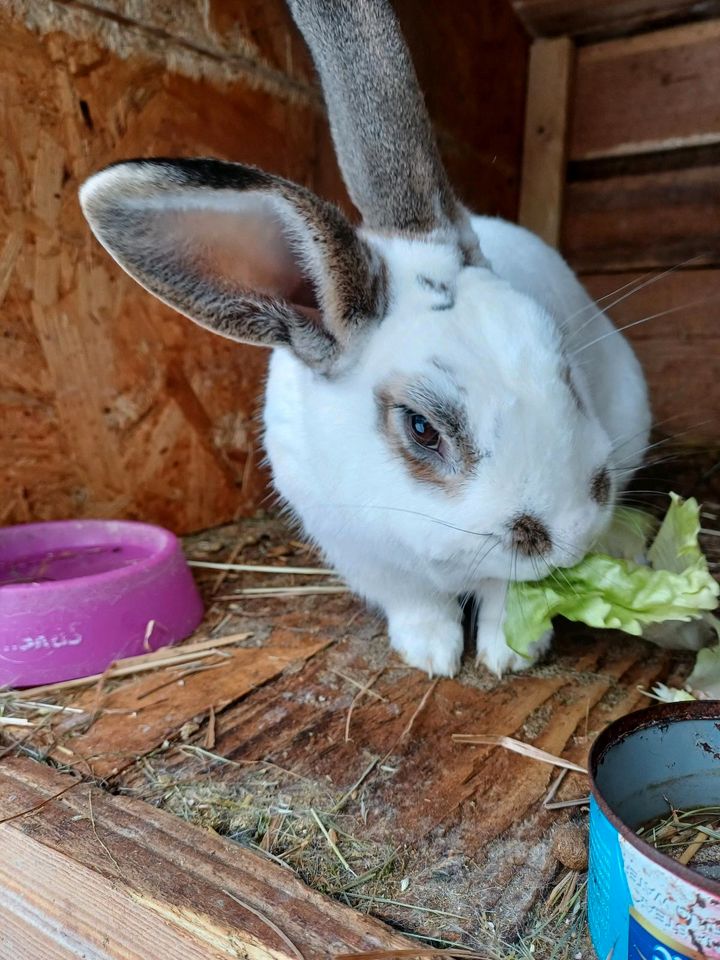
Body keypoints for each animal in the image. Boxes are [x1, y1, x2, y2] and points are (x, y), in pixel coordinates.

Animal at [79, 0, 652, 680]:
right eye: (422, 429)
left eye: (565, 370)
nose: (575, 531)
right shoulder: (363, 557)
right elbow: (416, 602)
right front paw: (430, 653)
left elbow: (504, 593)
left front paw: (509, 652)